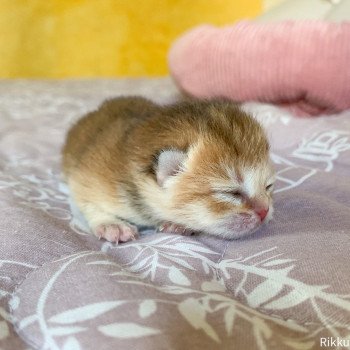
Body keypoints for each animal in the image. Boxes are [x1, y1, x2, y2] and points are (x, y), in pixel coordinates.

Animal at [61, 97, 274, 242]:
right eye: (231, 193)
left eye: (268, 186)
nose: (265, 211)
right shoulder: (88, 175)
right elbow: (86, 202)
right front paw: (110, 224)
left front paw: (177, 225)